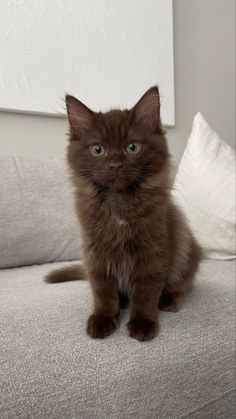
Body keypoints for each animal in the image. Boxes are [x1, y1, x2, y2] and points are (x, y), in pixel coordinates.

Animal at [45, 87, 202, 342]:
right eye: (97, 149)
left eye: (132, 147)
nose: (116, 164)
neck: (118, 203)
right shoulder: (95, 252)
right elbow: (103, 290)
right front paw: (104, 318)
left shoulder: (153, 250)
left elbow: (146, 290)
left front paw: (143, 323)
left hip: (188, 249)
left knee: (182, 283)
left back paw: (169, 299)